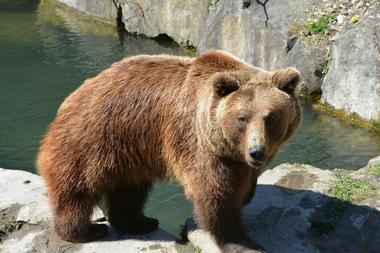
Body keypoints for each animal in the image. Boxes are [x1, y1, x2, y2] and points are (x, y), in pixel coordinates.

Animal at [37, 50, 302, 252]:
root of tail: (74, 96)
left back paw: (139, 222)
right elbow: (217, 195)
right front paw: (243, 243)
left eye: (270, 117)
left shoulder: (235, 157)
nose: (257, 151)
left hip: (129, 149)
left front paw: (246, 196)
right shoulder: (200, 145)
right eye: (242, 118)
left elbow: (244, 184)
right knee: (78, 187)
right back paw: (86, 230)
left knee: (130, 189)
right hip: (93, 139)